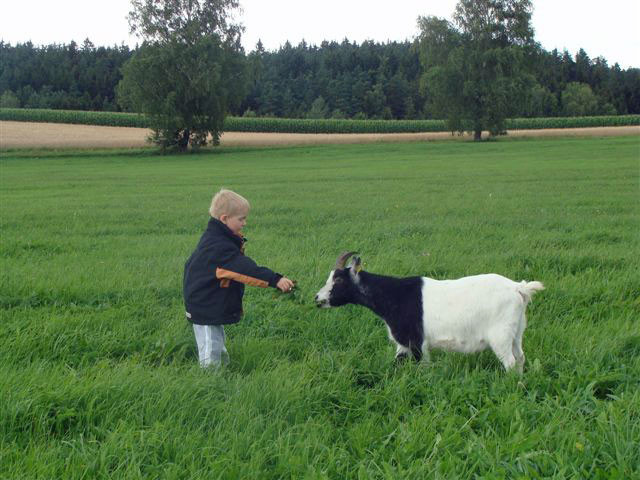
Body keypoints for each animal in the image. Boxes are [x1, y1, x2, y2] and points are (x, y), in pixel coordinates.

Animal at [312, 253, 544, 374]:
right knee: (520, 358)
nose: (317, 298)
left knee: (510, 362)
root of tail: (518, 288)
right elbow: (396, 364)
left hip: (500, 335)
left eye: (338, 279)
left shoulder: (417, 343)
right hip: (517, 332)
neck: (393, 296)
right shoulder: (403, 345)